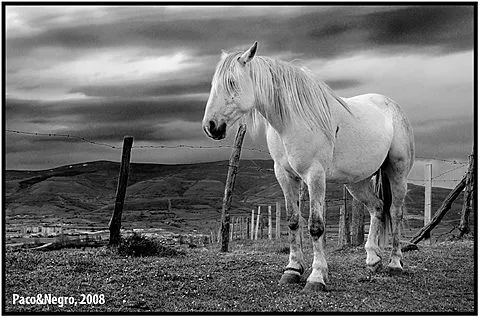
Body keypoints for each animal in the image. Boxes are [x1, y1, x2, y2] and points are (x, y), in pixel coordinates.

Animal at [201, 42, 414, 294]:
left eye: (232, 82)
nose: (210, 126)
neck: (291, 121)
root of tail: (391, 105)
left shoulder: (315, 175)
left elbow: (315, 226)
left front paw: (317, 276)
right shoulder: (284, 175)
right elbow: (294, 221)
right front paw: (292, 270)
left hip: (397, 172)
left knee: (395, 212)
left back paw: (394, 263)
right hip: (356, 182)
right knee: (378, 208)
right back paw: (373, 260)